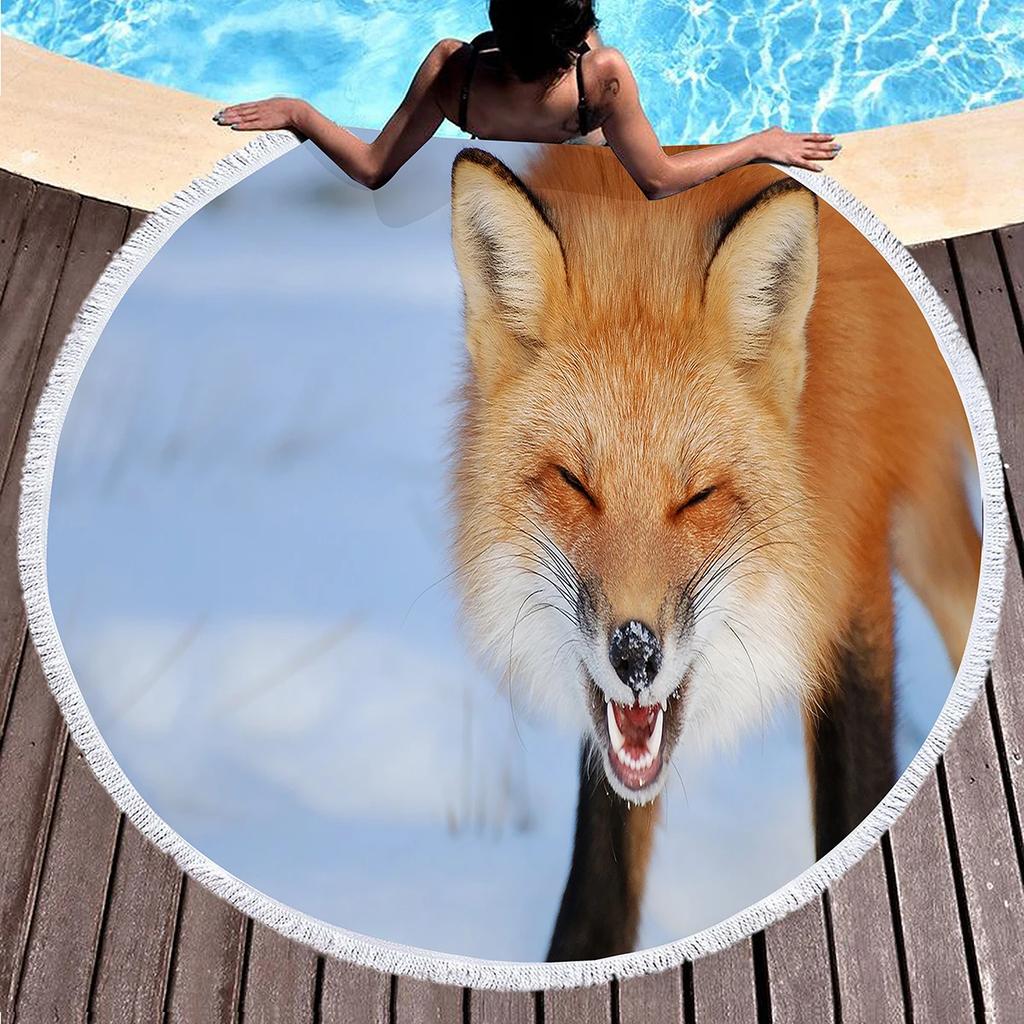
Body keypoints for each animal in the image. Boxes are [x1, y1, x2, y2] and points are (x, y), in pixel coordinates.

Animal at [447, 144, 981, 961]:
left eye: (696, 496)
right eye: (575, 483)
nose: (636, 654)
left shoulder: (849, 556)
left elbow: (853, 801)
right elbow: (601, 878)